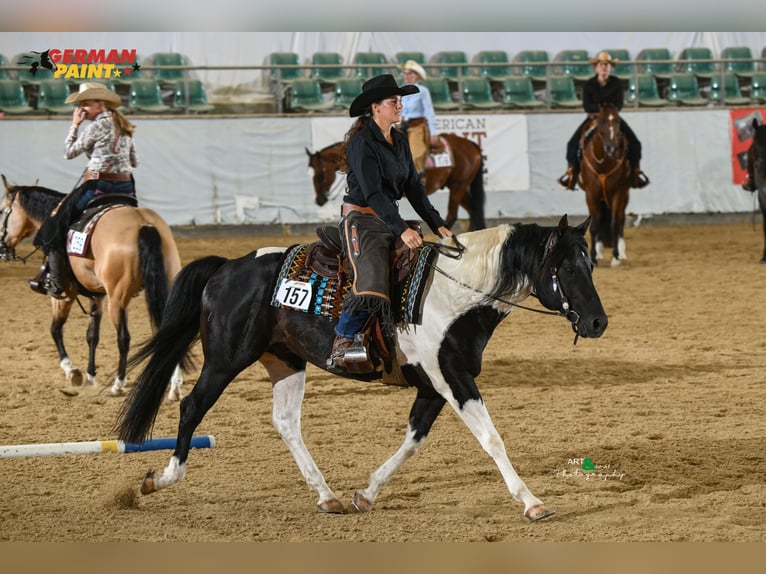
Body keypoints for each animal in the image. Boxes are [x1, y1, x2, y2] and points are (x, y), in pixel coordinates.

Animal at [0, 175, 184, 399]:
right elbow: (92, 336)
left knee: (123, 338)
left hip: (118, 299)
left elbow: (55, 329)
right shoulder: (98, 296)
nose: (2, 248)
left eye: (2, 210)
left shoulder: (65, 295)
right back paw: (174, 387)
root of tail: (145, 224)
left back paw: (118, 384)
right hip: (164, 286)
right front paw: (90, 376)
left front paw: (72, 372)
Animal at [116, 214, 607, 523]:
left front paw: (366, 494)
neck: (457, 295)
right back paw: (160, 479)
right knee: (191, 407)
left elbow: (413, 441)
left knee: (286, 422)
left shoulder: (433, 386)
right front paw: (532, 502)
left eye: (591, 262)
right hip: (224, 360)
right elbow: (491, 438)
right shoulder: (453, 379)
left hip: (286, 361)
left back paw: (327, 496)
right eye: (566, 268)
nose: (598, 322)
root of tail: (226, 267)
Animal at [306, 134, 487, 231]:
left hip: (458, 186)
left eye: (319, 175)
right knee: (473, 211)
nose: (319, 200)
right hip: (458, 185)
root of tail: (471, 145)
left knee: (452, 215)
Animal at [578, 103, 632, 267]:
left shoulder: (618, 193)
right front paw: (593, 257)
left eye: (618, 121)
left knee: (620, 219)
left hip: (624, 195)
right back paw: (600, 250)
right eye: (601, 121)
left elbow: (614, 223)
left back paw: (622, 252)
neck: (603, 164)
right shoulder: (591, 194)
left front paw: (615, 256)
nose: (611, 148)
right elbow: (594, 225)